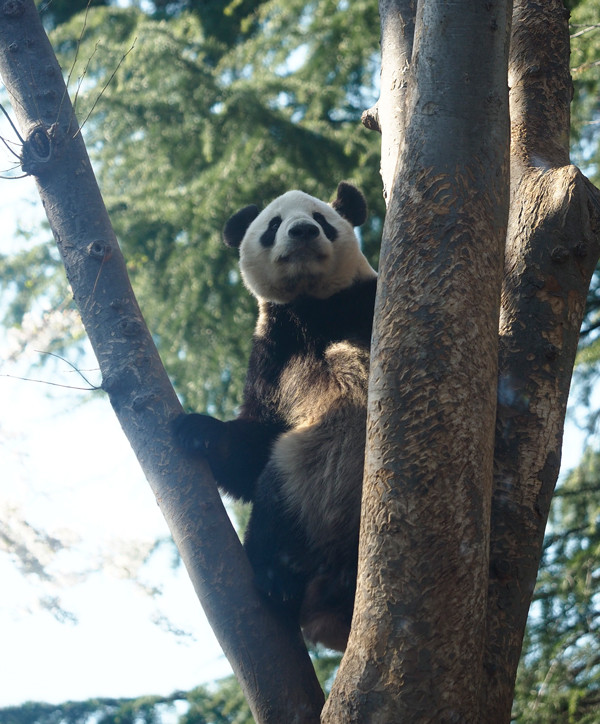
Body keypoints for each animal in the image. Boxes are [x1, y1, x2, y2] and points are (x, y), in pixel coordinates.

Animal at [176, 181, 378, 652]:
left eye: (321, 218)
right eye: (273, 225)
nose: (302, 231)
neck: (312, 307)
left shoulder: (365, 303)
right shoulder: (272, 355)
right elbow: (254, 445)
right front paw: (196, 431)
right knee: (275, 497)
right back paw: (276, 580)